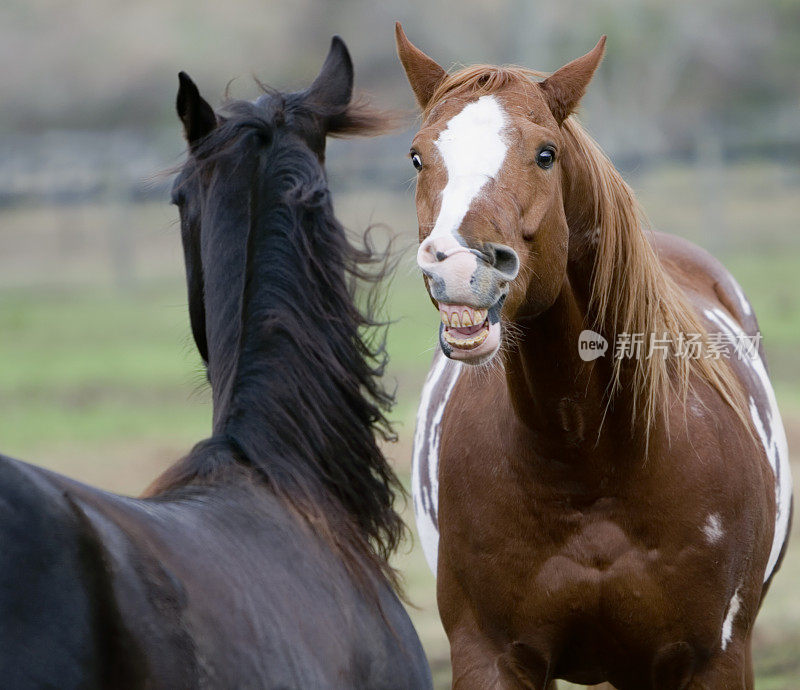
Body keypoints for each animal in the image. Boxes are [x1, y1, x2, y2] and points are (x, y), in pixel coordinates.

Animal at [396, 24, 792, 684]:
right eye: (418, 155)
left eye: (545, 154)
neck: (590, 459)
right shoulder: (488, 656)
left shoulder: (716, 661)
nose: (457, 266)